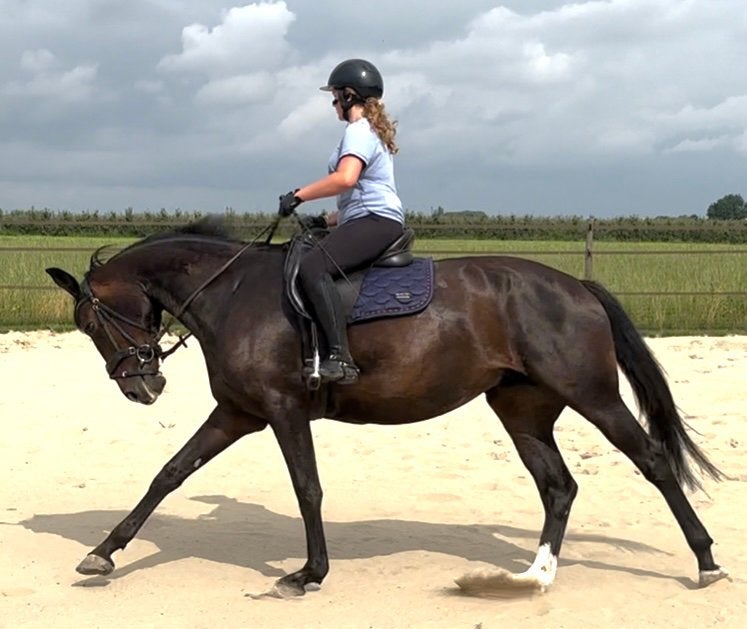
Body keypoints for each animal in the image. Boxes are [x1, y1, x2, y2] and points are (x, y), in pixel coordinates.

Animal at [45, 218, 727, 597]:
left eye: (91, 322)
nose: (142, 387)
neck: (235, 293)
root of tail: (575, 286)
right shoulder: (238, 414)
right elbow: (169, 474)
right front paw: (103, 553)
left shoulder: (282, 410)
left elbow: (308, 488)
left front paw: (308, 574)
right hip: (522, 410)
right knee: (558, 487)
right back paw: (534, 578)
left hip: (593, 396)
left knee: (653, 462)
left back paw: (706, 560)